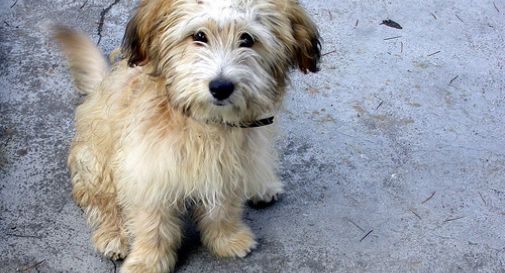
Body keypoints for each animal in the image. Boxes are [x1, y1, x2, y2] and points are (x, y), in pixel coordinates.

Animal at [54, 1, 318, 270]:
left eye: (247, 39)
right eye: (199, 36)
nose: (221, 87)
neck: (204, 122)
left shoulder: (229, 166)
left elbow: (222, 210)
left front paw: (227, 239)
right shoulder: (149, 170)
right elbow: (153, 225)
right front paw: (148, 262)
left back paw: (264, 186)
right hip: (96, 161)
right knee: (99, 199)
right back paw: (114, 234)